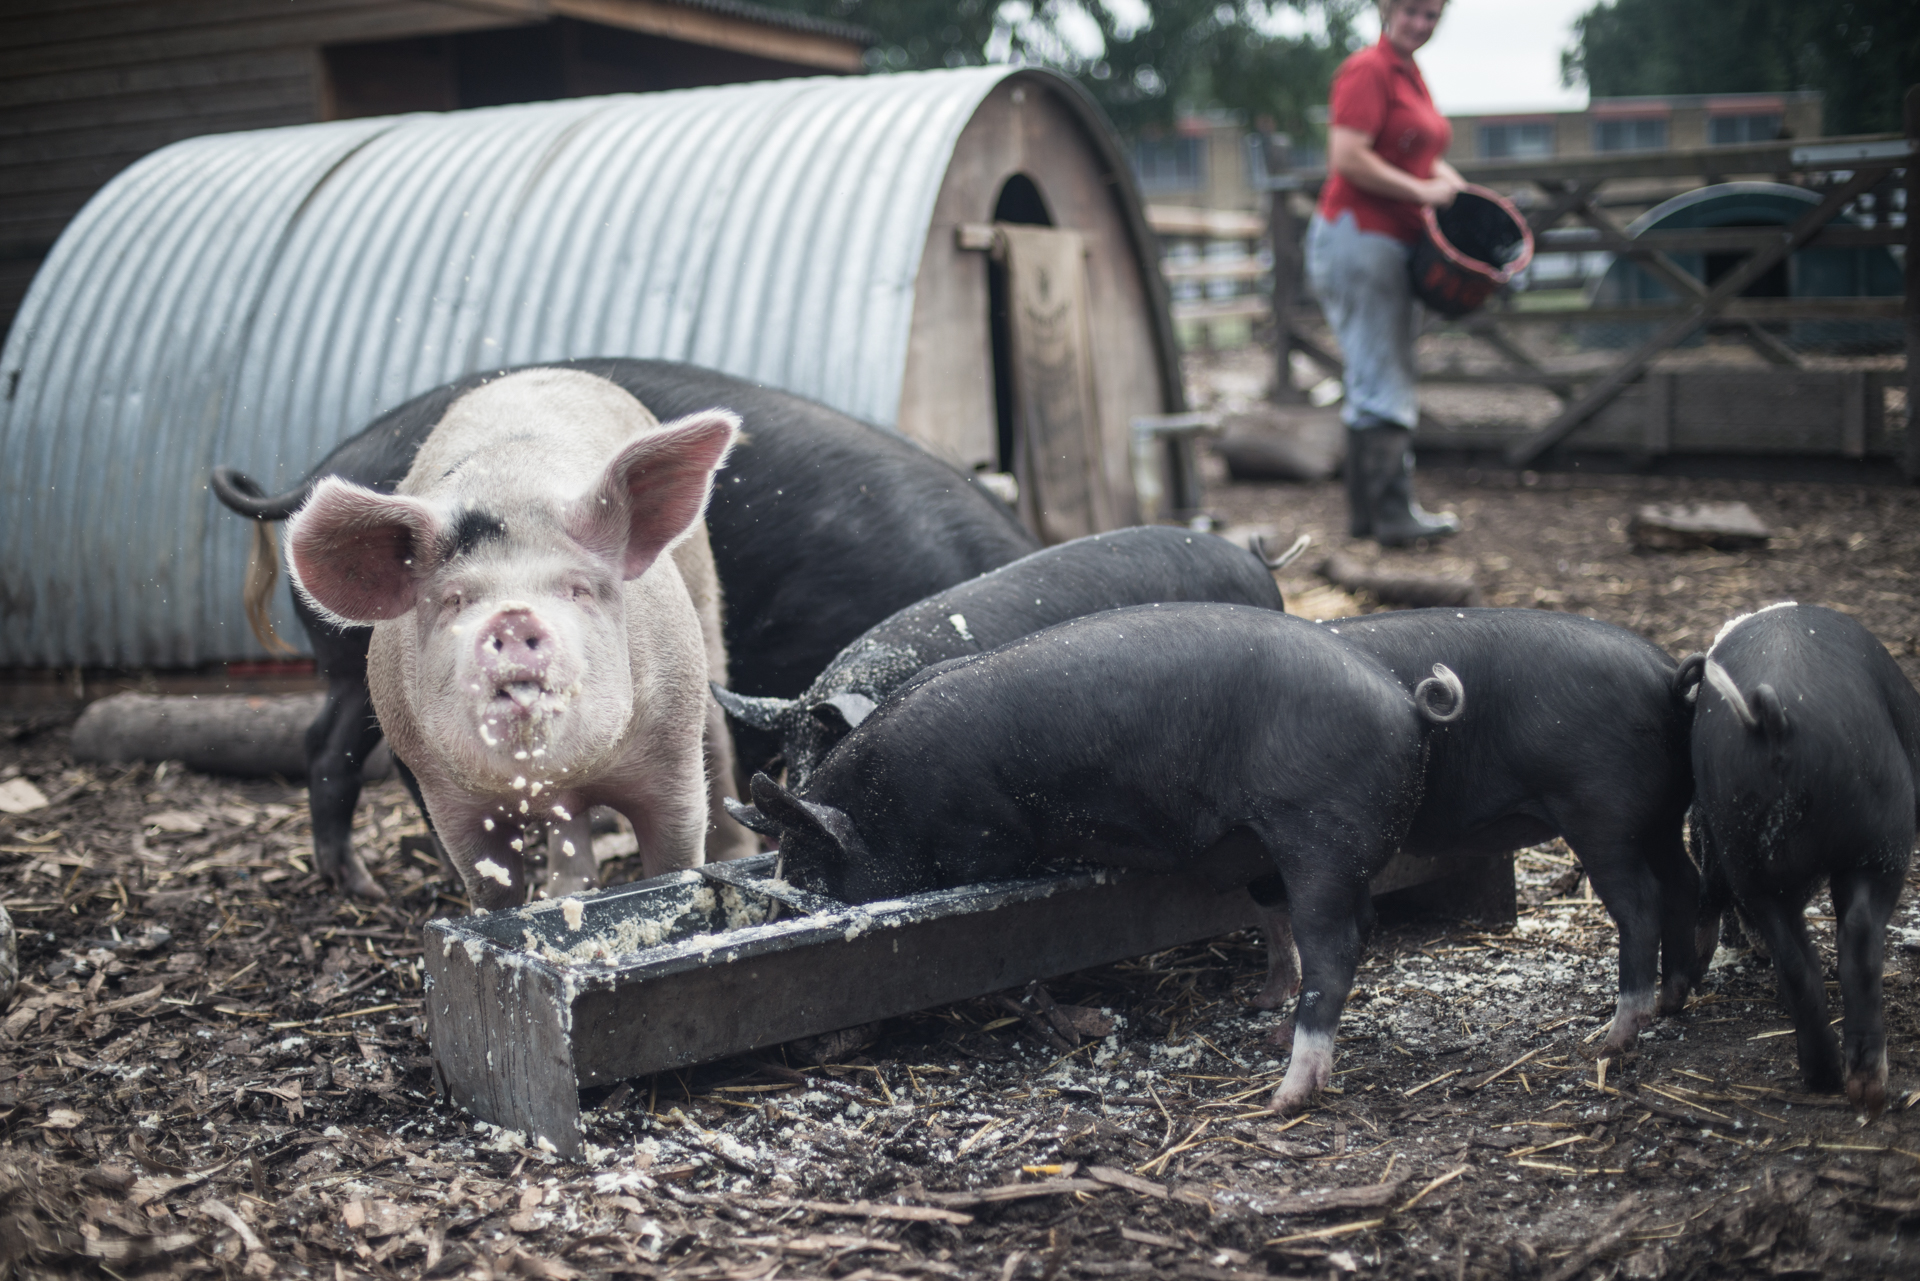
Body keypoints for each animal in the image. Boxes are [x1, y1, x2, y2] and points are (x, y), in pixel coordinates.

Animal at [284, 368, 748, 910]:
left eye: (578, 589)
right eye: (455, 600)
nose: (513, 615)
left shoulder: (671, 755)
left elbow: (676, 859)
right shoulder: (445, 793)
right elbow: (492, 889)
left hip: (704, 617)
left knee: (717, 737)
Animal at [725, 603, 1459, 1113]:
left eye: (815, 882)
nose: (800, 1047)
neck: (890, 806)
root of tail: (1406, 704)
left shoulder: (985, 840)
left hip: (1321, 836)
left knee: (1337, 947)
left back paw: (1285, 1094)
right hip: (1280, 844)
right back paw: (1266, 1009)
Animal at [1297, 610, 1704, 1060]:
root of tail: (1667, 677)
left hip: (1604, 817)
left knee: (1641, 904)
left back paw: (1610, 1043)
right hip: (1663, 817)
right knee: (1685, 880)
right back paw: (1672, 1000)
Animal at [1697, 603, 1920, 1113]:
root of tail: (1775, 720)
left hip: (1745, 855)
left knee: (1796, 960)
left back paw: (1825, 1079)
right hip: (1882, 838)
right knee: (1859, 936)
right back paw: (1867, 1087)